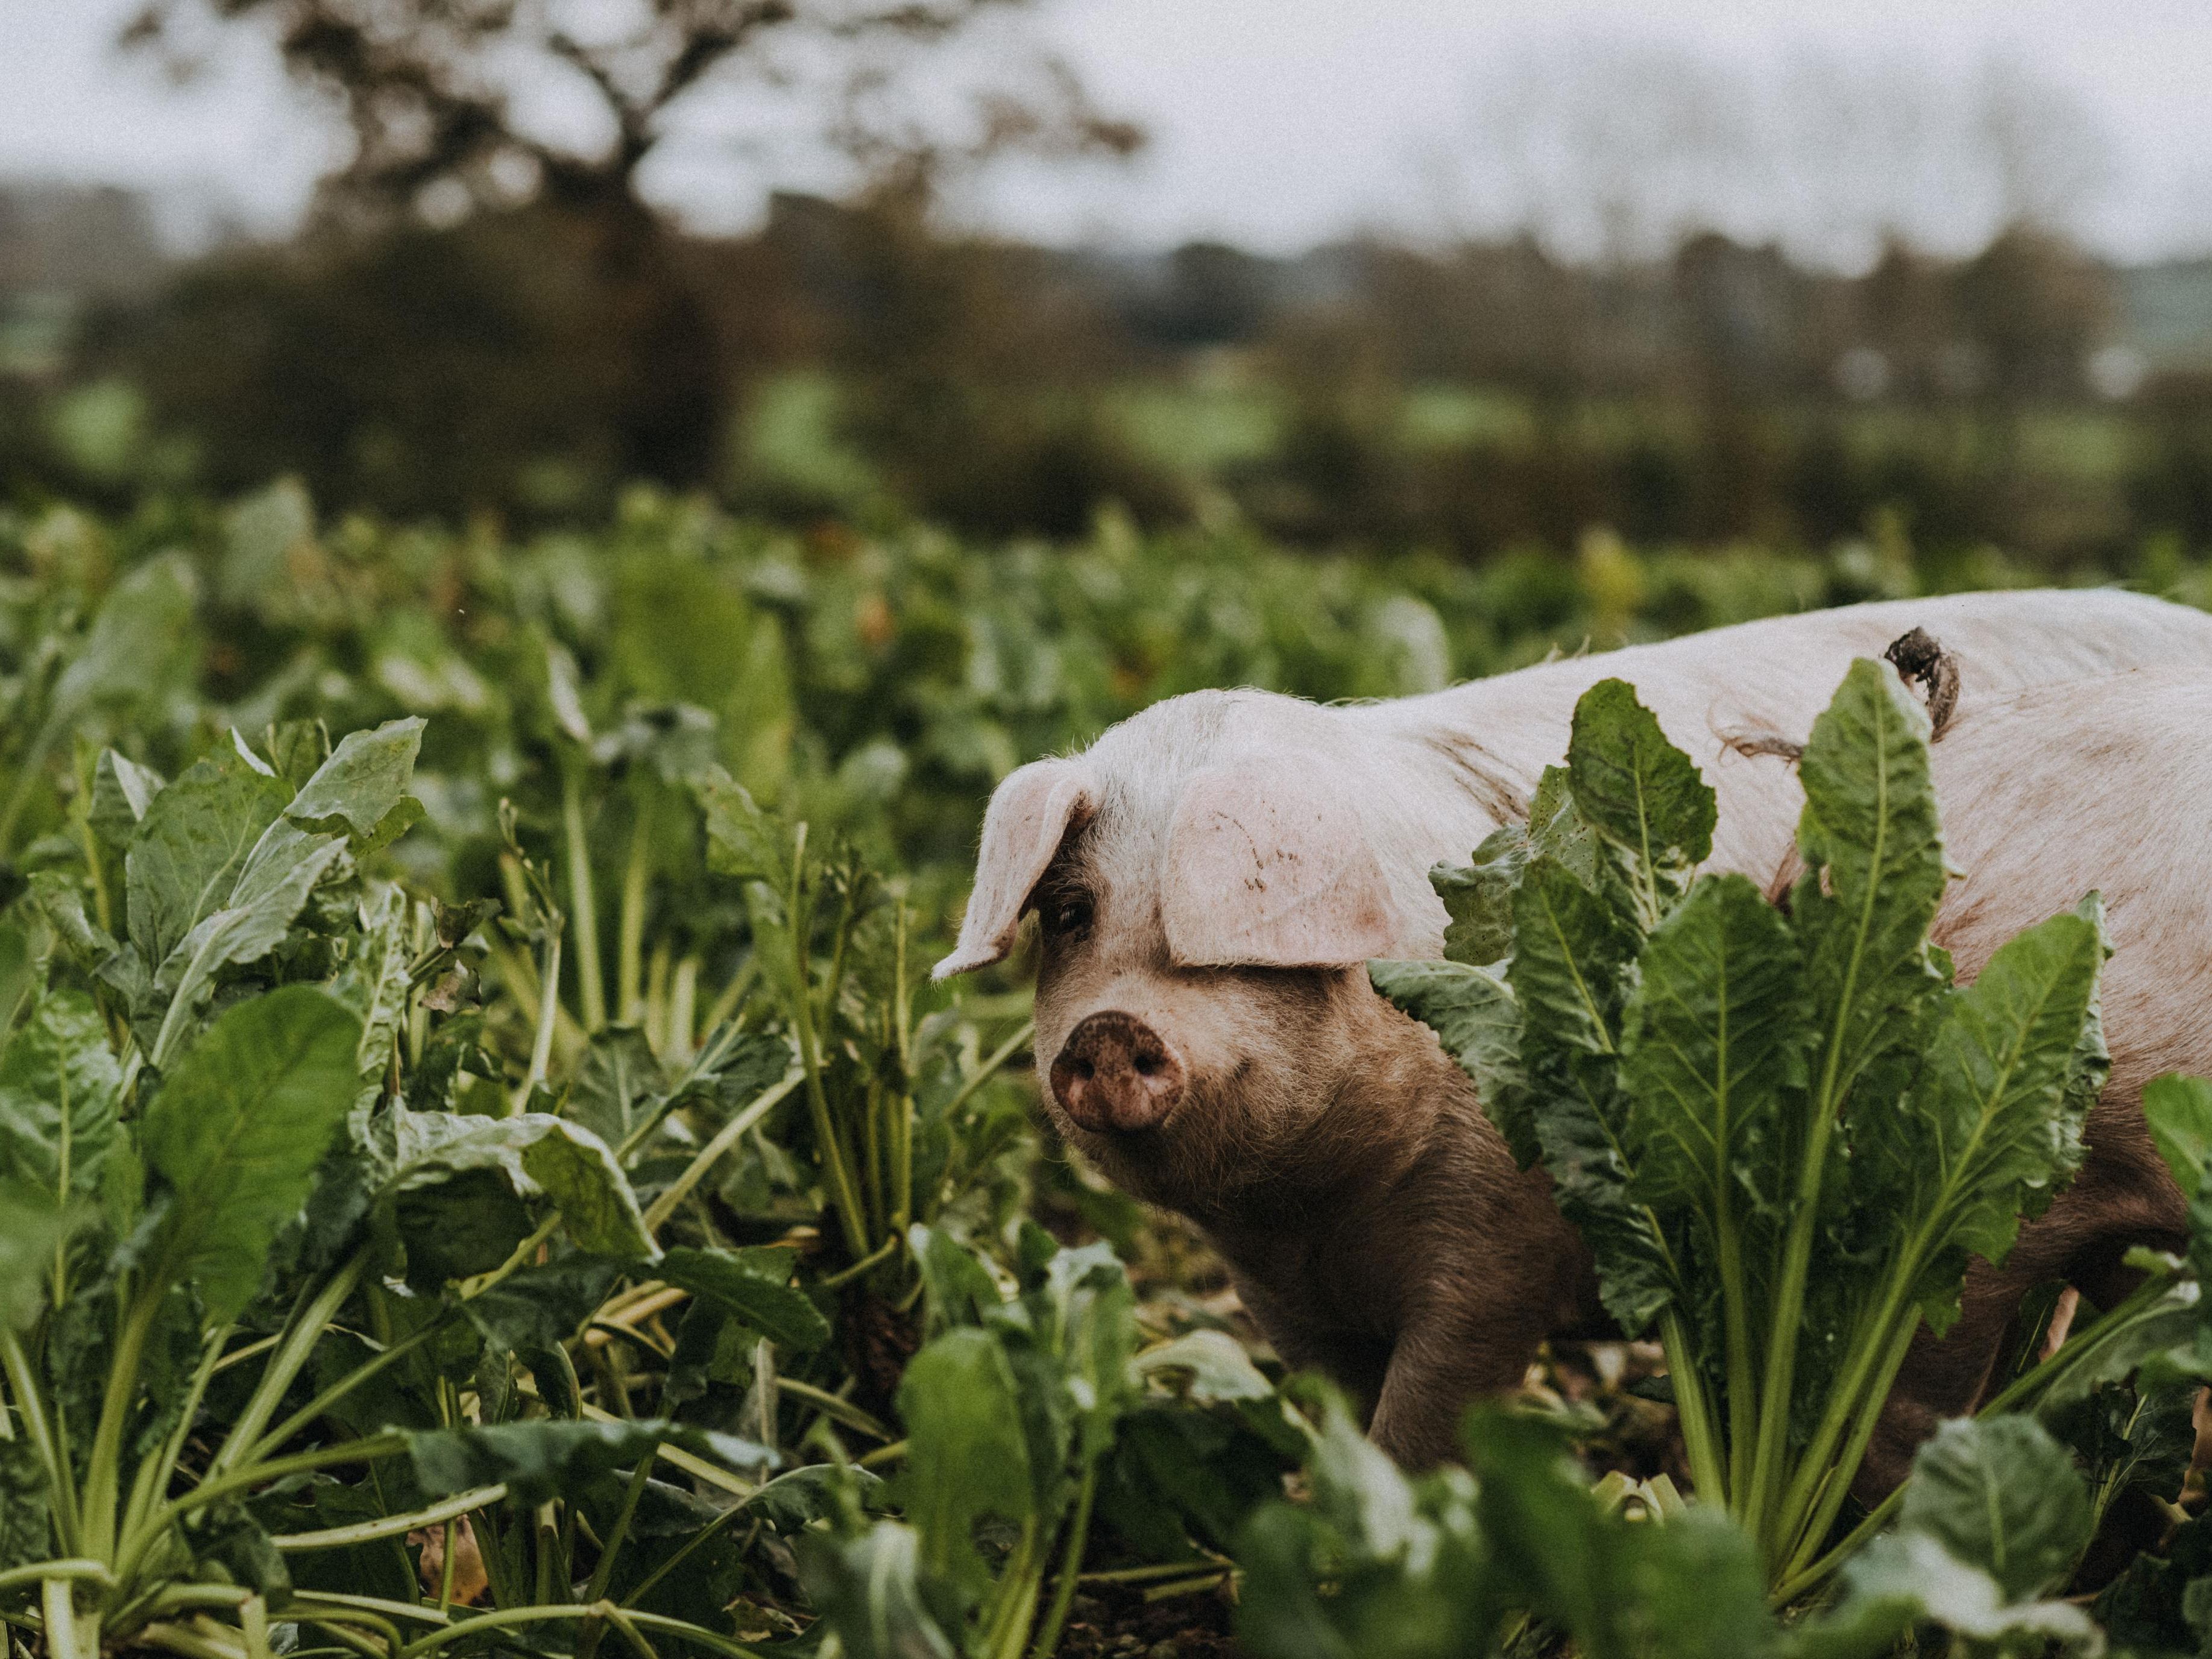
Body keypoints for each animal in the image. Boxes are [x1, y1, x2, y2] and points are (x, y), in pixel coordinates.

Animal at [935, 587, 2212, 1468]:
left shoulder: (1498, 1240)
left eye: (1239, 935)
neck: (1314, 1215)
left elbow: (1427, 1416)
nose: (1107, 1029)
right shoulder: (1277, 1298)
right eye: (1070, 914)